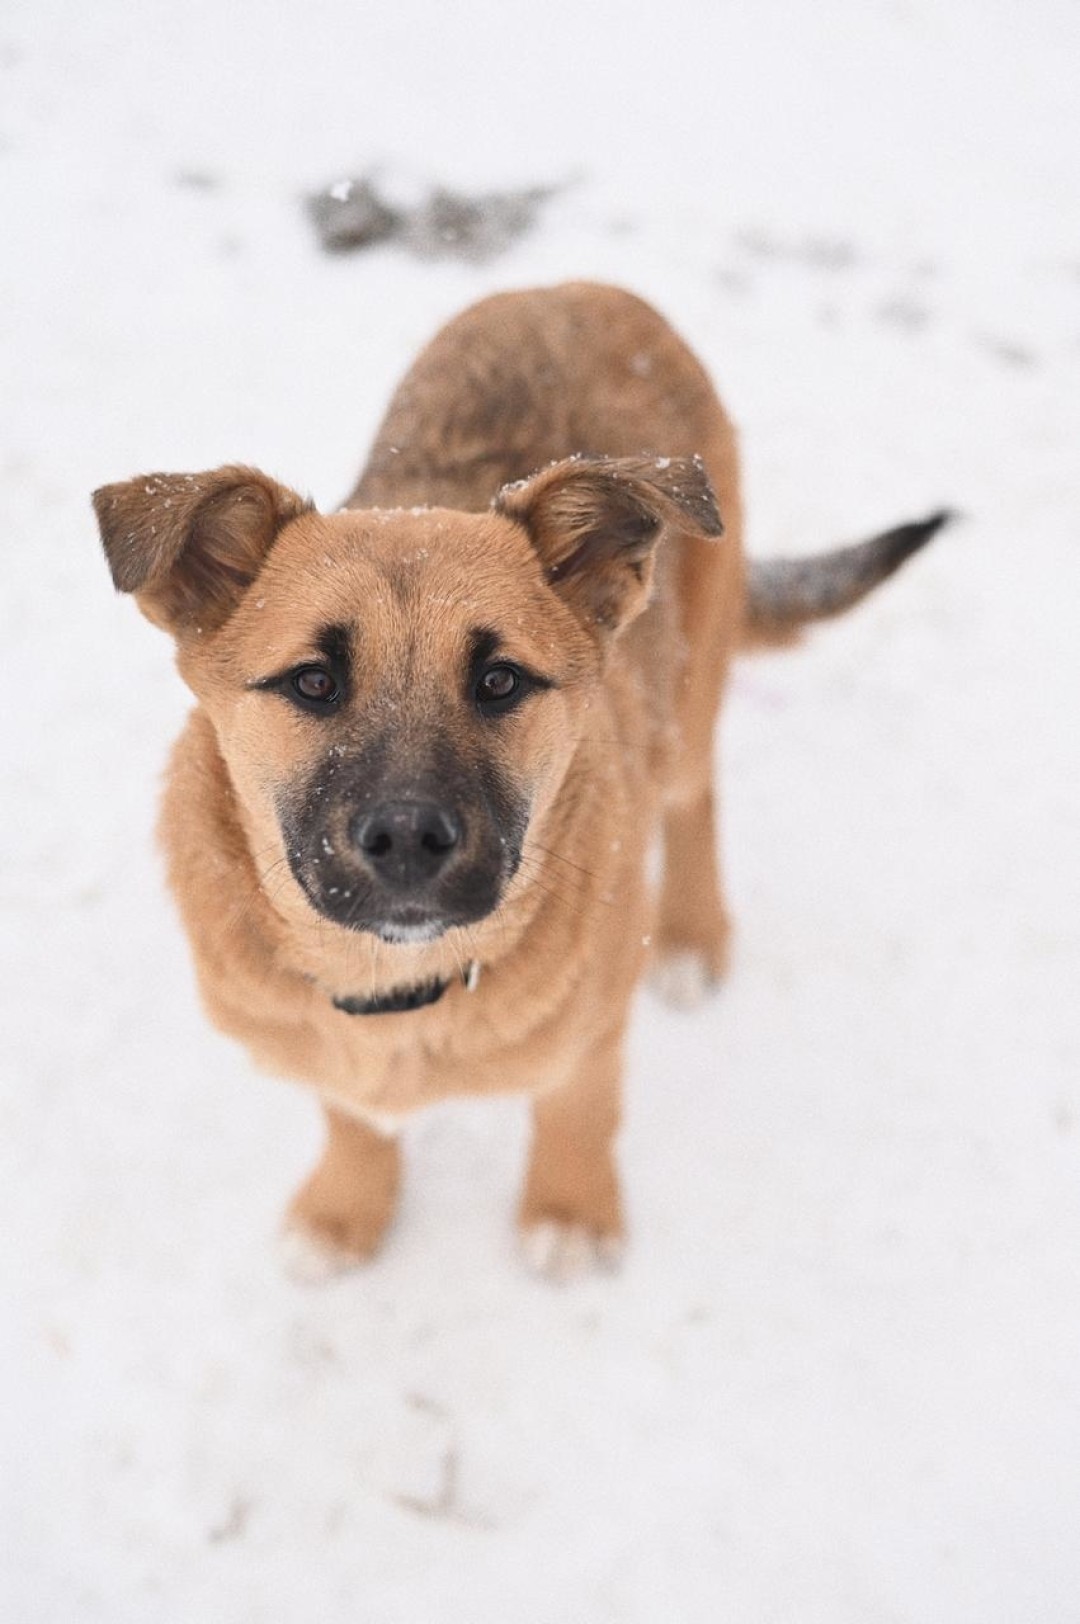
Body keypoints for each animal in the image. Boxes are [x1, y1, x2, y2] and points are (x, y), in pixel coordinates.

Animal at [92, 282, 948, 1279]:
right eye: (313, 682)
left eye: (500, 681)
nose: (408, 838)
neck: (401, 983)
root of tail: (582, 288)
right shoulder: (321, 1051)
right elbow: (351, 1114)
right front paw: (348, 1212)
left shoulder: (595, 1026)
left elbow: (577, 1106)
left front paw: (569, 1212)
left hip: (694, 678)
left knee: (695, 797)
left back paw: (692, 937)